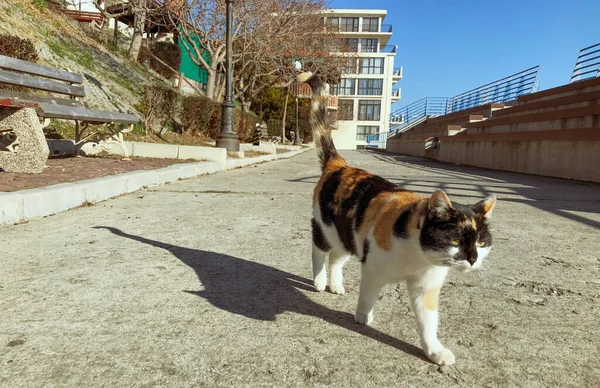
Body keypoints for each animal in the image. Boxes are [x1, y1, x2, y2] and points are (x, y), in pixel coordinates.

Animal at [300, 71, 496, 366]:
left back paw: (335, 284)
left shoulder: (426, 286)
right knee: (319, 250)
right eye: (455, 240)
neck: (417, 255)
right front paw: (363, 316)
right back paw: (321, 280)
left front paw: (434, 350)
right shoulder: (373, 266)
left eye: (481, 244)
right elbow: (368, 293)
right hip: (327, 227)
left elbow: (428, 321)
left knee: (336, 257)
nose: (472, 259)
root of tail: (339, 163)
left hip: (349, 235)